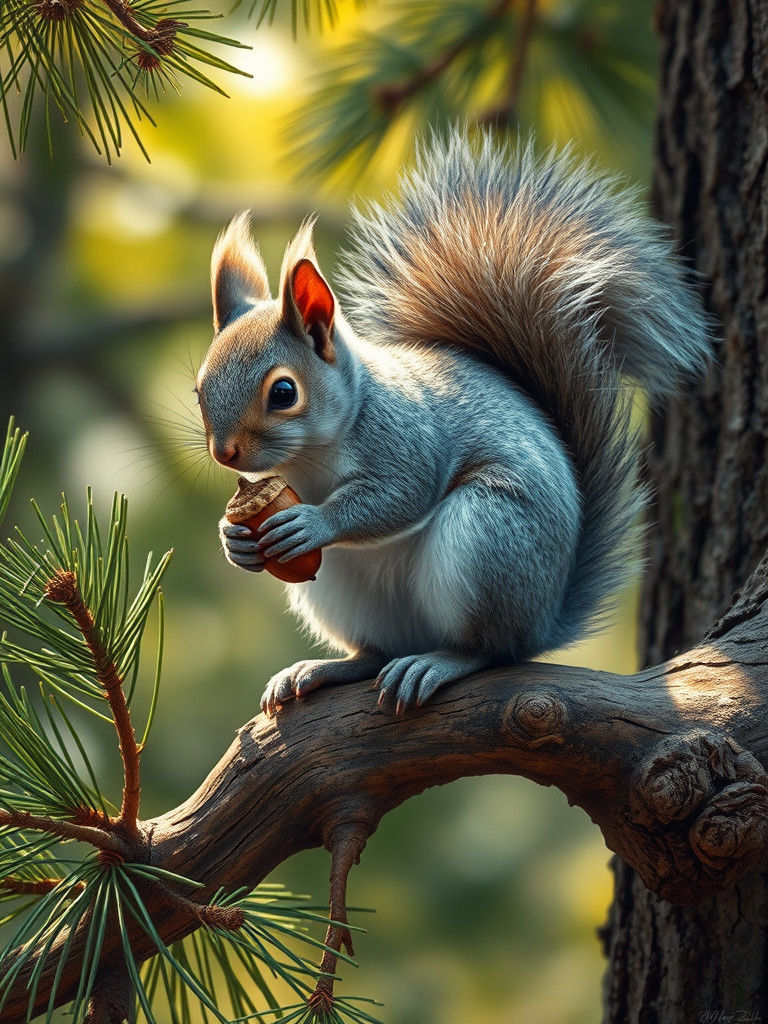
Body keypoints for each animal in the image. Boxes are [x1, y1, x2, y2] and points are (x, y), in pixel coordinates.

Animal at [195, 130, 711, 717]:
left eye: (283, 393)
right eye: (199, 388)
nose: (224, 453)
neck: (312, 457)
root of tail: (544, 619)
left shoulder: (408, 438)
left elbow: (399, 495)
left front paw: (315, 522)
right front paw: (233, 538)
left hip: (487, 537)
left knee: (490, 649)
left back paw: (439, 663)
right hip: (342, 587)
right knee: (375, 652)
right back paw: (325, 668)